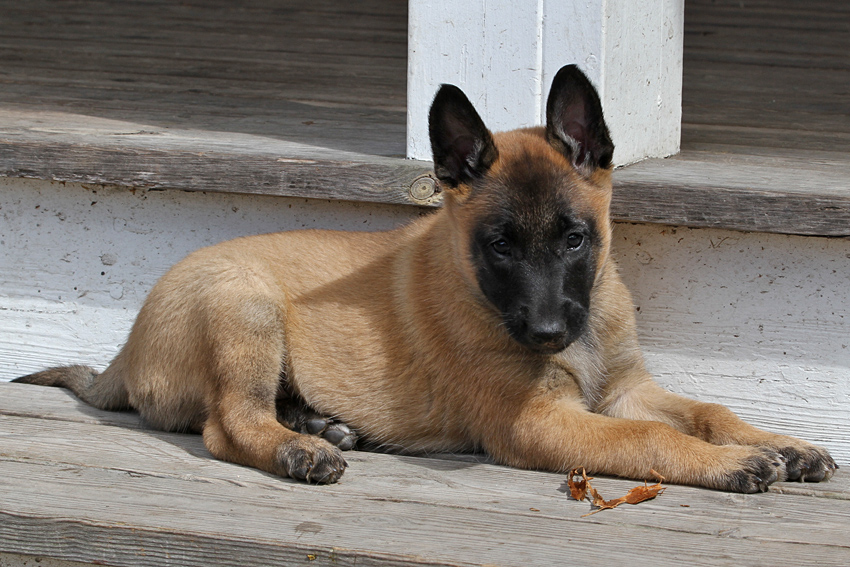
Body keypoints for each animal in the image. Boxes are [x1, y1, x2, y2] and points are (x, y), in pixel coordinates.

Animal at [14, 64, 836, 492]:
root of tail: (123, 355)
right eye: (499, 247)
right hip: (242, 305)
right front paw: (732, 463)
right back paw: (300, 448)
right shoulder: (539, 422)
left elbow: (706, 409)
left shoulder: (626, 386)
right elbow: (648, 438)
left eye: (575, 239)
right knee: (227, 422)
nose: (548, 331)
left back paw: (318, 422)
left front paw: (779, 442)